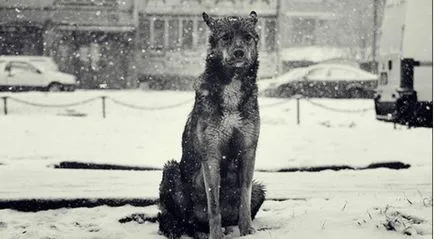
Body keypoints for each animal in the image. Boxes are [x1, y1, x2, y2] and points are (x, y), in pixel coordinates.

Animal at [158, 11, 264, 239]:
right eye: (225, 37)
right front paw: (216, 235)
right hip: (171, 171)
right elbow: (213, 203)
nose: (239, 52)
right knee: (175, 218)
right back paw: (181, 229)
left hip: (260, 188)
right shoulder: (211, 153)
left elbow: (244, 196)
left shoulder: (248, 150)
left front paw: (247, 230)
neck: (232, 85)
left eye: (248, 37)